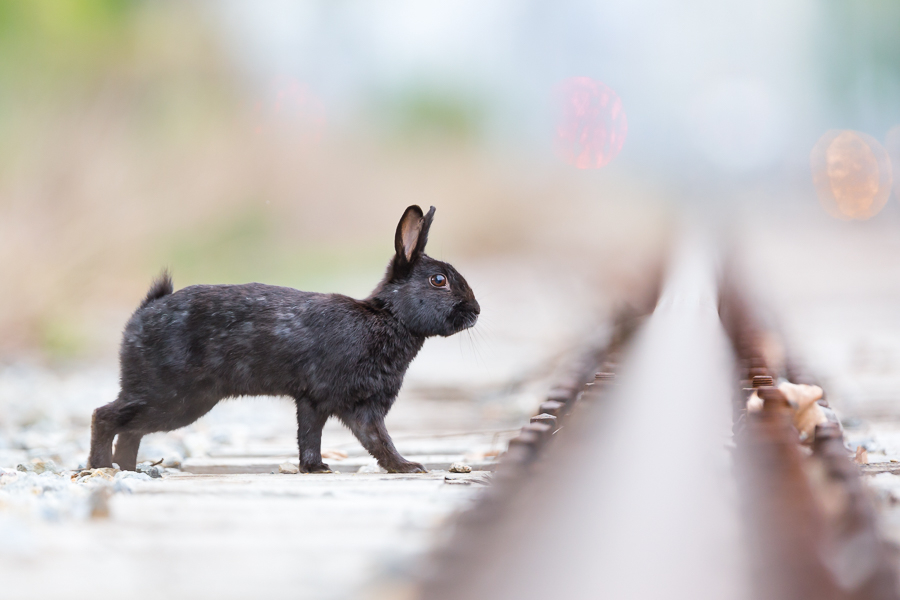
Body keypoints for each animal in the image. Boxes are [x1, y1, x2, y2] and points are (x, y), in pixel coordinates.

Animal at [88, 205, 479, 474]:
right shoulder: (346, 402)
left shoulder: (324, 402)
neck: (388, 317)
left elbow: (319, 436)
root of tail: (143, 315)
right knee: (105, 416)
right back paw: (100, 466)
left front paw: (316, 468)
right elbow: (377, 439)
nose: (476, 310)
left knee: (130, 429)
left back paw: (125, 468)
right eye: (439, 280)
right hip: (171, 395)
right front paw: (408, 466)